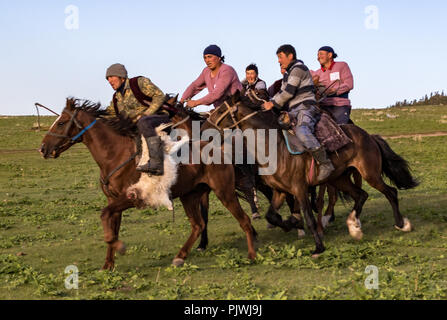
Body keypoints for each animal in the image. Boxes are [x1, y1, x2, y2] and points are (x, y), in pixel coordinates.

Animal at [40, 98, 258, 270]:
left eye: (61, 123)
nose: (43, 148)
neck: (115, 154)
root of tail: (220, 150)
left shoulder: (130, 198)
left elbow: (104, 216)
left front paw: (119, 247)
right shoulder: (113, 200)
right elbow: (111, 224)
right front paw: (108, 264)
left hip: (224, 192)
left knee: (244, 220)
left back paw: (252, 255)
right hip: (190, 196)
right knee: (198, 225)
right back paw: (180, 257)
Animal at [206, 92, 420, 255]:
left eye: (220, 110)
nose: (206, 127)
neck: (274, 147)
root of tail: (369, 136)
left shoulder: (299, 189)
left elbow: (308, 217)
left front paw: (318, 246)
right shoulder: (280, 191)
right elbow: (272, 216)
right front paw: (290, 224)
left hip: (370, 174)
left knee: (390, 192)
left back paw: (401, 224)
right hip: (340, 179)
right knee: (361, 195)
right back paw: (354, 227)